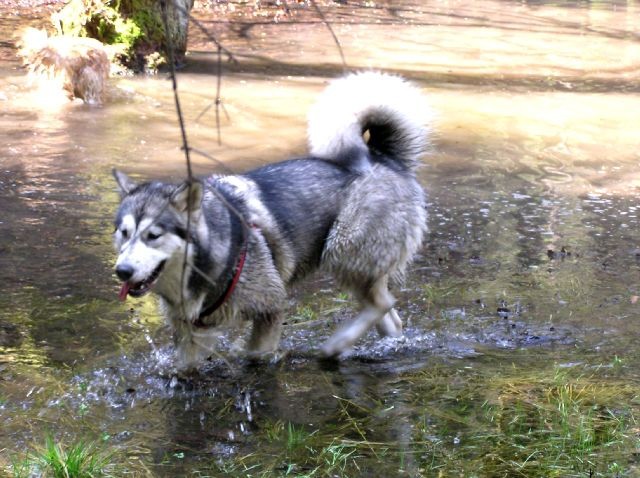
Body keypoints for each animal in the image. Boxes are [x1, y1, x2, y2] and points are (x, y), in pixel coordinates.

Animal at [113, 72, 432, 370]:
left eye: (153, 235)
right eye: (124, 233)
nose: (122, 271)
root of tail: (383, 157)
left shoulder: (271, 305)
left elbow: (256, 353)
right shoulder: (192, 333)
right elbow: (186, 367)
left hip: (343, 251)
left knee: (383, 303)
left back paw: (335, 345)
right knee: (390, 316)